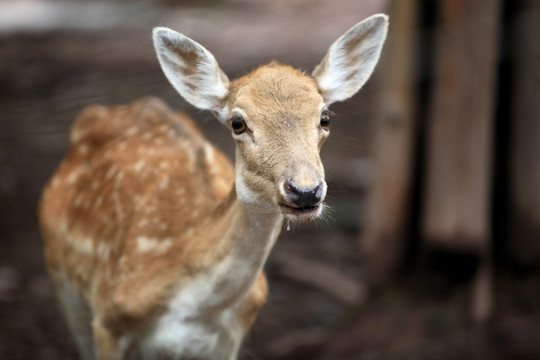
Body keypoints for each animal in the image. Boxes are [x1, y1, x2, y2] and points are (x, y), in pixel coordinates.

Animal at [40, 14, 388, 360]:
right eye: (238, 123)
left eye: (325, 117)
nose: (305, 190)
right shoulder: (108, 319)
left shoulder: (230, 338)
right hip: (64, 283)